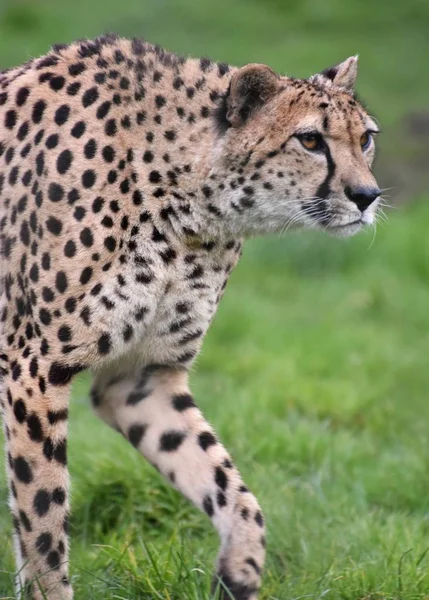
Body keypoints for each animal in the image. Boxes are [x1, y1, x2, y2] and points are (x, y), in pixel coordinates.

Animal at [0, 34, 380, 600]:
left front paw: (240, 569)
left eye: (366, 139)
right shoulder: (34, 370)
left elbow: (228, 484)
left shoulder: (140, 377)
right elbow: (44, 524)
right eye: (311, 140)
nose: (367, 196)